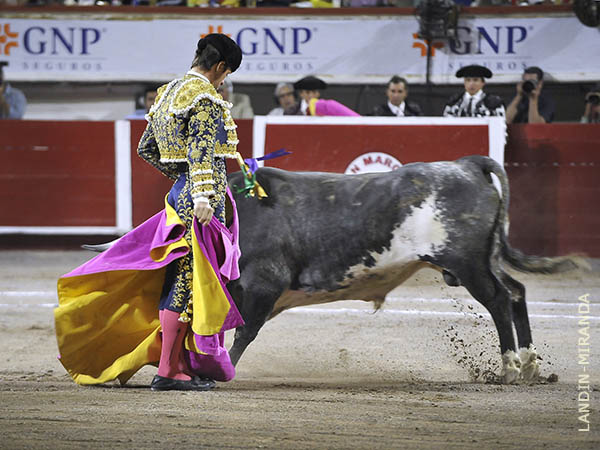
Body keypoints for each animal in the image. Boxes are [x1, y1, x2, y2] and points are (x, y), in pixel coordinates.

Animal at [226, 156, 584, 384]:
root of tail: (466, 164)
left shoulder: (264, 283)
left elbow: (244, 332)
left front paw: (223, 371)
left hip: (468, 264)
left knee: (498, 299)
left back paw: (510, 368)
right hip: (487, 259)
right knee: (515, 291)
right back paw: (530, 367)